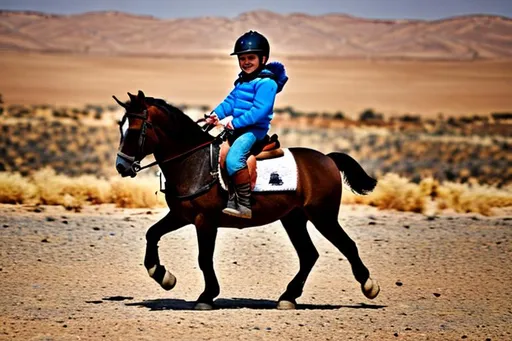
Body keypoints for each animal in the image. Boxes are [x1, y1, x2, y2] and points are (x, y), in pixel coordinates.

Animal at [115, 91, 380, 310]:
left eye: (135, 130)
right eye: (120, 127)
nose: (121, 166)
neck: (193, 162)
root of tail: (327, 158)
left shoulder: (205, 221)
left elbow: (204, 258)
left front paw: (206, 296)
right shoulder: (181, 216)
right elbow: (152, 233)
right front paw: (163, 275)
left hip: (323, 216)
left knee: (346, 245)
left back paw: (369, 286)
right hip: (294, 219)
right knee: (309, 255)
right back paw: (288, 297)